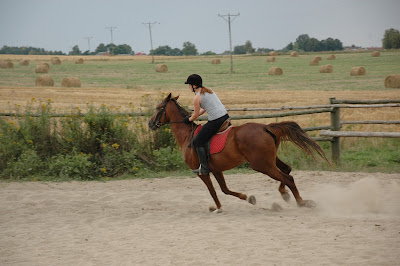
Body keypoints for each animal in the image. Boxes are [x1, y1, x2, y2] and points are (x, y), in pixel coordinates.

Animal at [148, 92, 330, 213]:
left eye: (158, 108)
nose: (150, 124)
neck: (187, 136)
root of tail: (266, 127)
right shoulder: (216, 170)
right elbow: (224, 189)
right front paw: (248, 198)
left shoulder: (202, 172)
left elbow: (213, 191)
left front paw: (219, 208)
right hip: (270, 160)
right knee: (287, 170)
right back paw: (284, 195)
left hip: (261, 165)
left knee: (287, 177)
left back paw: (302, 202)